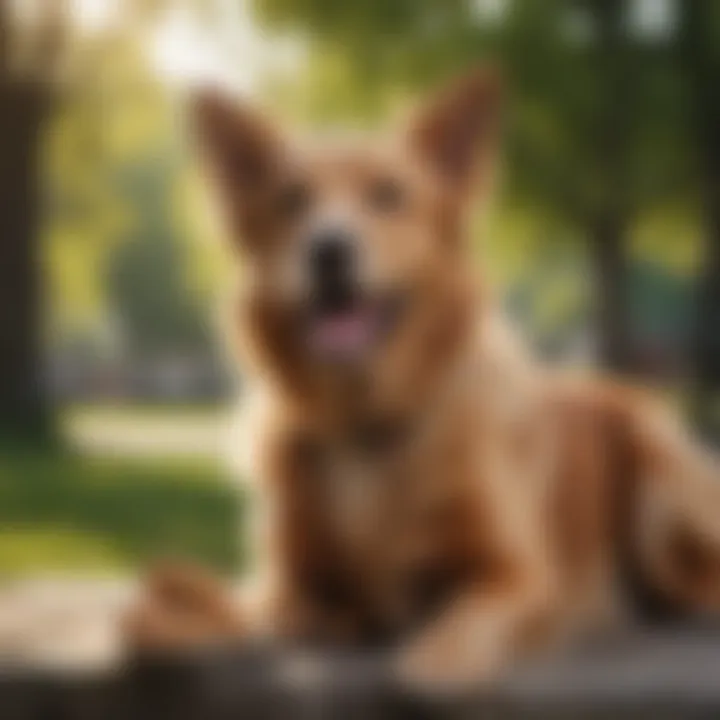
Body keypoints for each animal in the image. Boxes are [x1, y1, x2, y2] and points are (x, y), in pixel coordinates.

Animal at [126, 70, 720, 688]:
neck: (364, 419)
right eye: (291, 200)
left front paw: (432, 659)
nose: (327, 249)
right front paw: (184, 612)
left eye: (389, 195)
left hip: (660, 474)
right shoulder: (285, 579)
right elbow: (252, 609)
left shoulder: (520, 574)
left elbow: (459, 626)